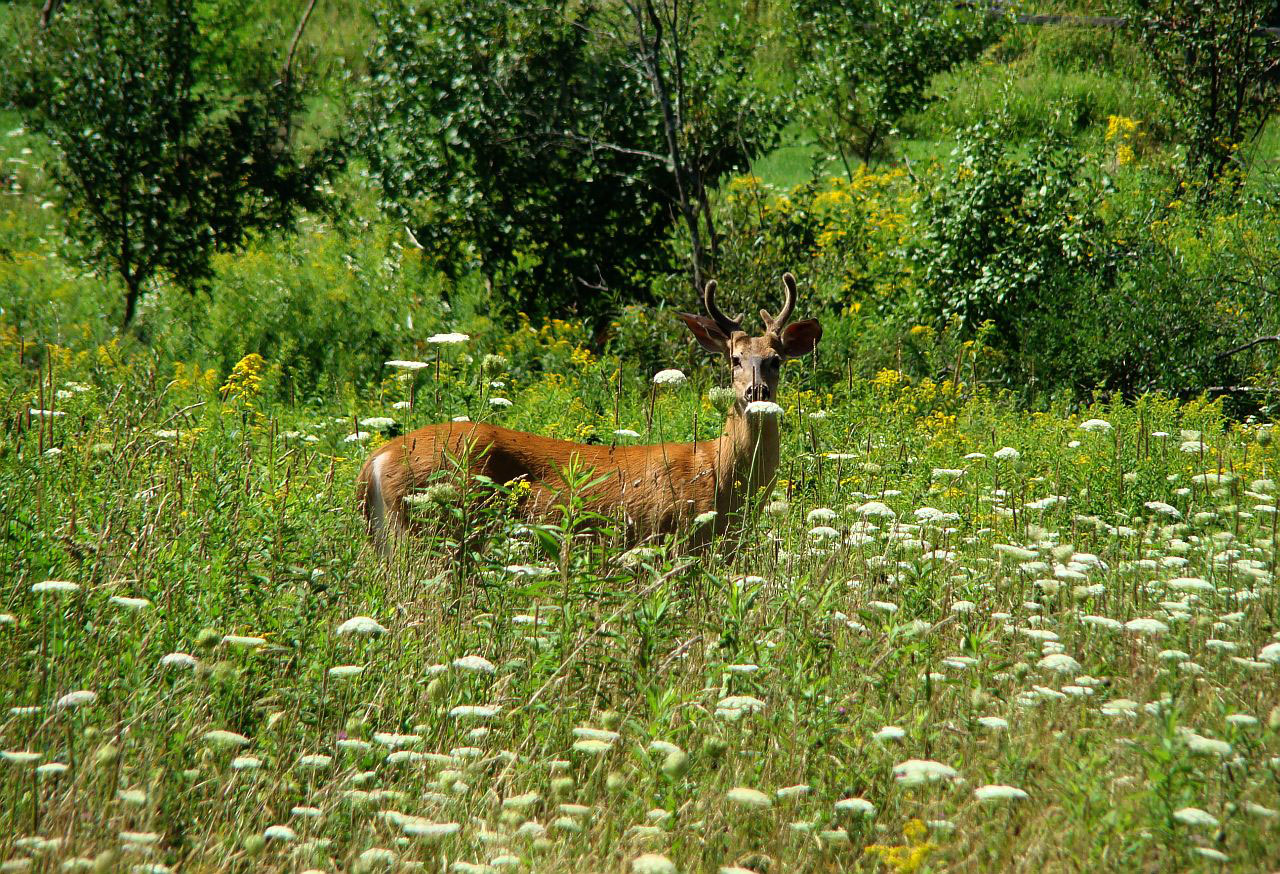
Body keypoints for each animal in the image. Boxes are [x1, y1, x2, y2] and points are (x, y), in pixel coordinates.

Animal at [355, 273, 824, 547]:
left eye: (776, 359)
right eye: (734, 360)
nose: (757, 390)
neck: (717, 472)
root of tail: (376, 460)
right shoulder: (669, 539)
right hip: (435, 530)